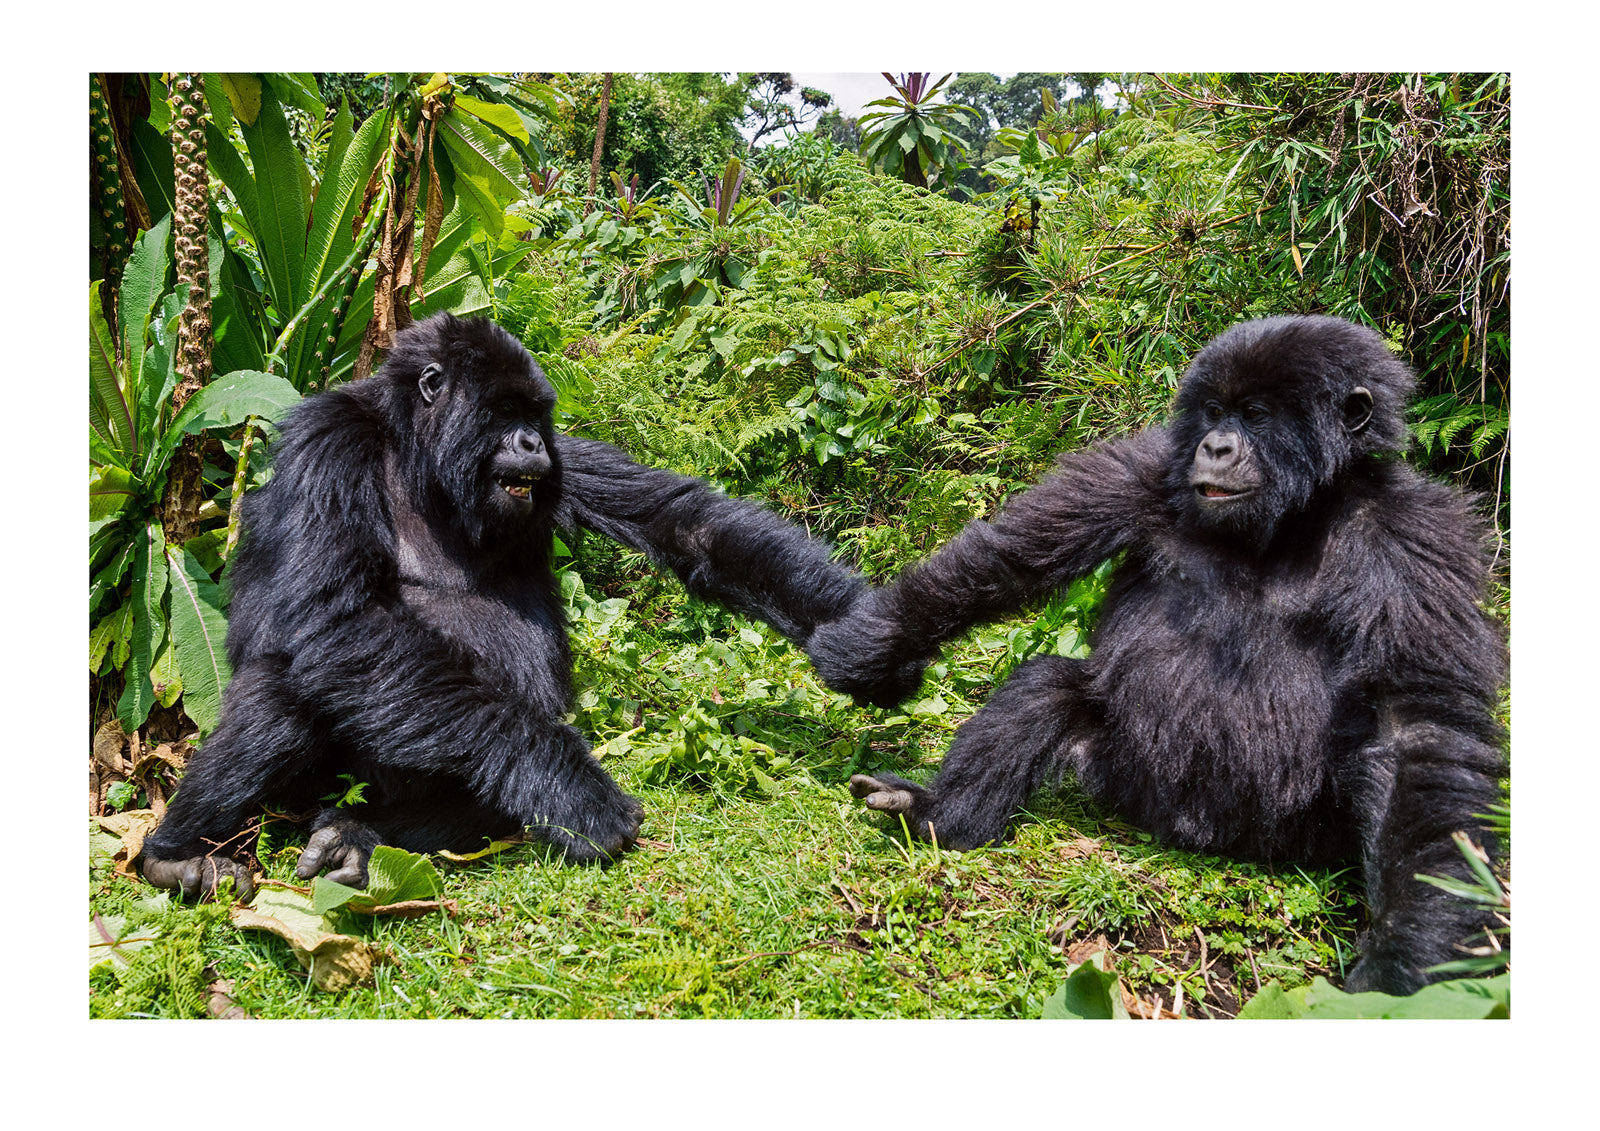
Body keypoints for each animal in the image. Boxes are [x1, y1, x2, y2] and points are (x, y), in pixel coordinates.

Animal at [137, 313, 864, 895]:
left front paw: (865, 631)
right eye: (504, 414)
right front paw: (568, 781)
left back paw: (362, 838)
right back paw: (177, 853)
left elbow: (687, 526)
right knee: (287, 687)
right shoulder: (329, 439)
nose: (533, 443)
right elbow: (337, 620)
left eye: (534, 417)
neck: (416, 451)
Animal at [812, 316, 1497, 991]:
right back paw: (936, 814)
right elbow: (1013, 558)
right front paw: (875, 647)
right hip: (1122, 775)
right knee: (1050, 688)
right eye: (1215, 411)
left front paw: (1399, 956)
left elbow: (1417, 731)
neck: (1294, 516)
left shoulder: (1415, 538)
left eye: (1254, 415)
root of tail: (1194, 833)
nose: (1215, 447)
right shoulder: (1145, 469)